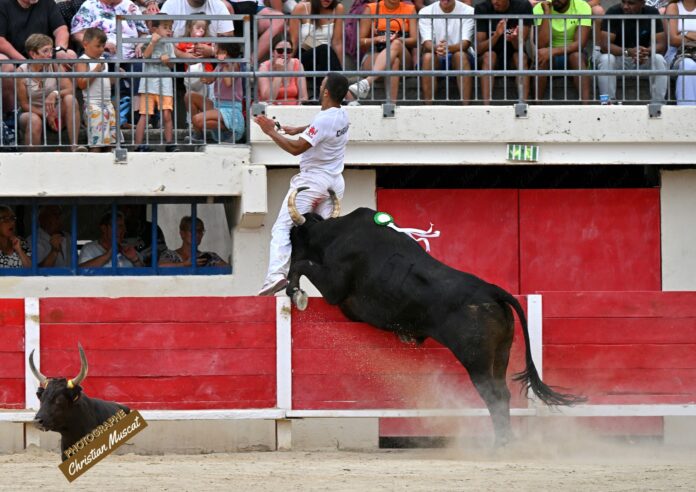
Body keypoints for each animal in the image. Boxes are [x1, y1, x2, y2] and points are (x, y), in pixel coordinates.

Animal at [286, 189, 584, 446]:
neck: (334, 234)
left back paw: (498, 444)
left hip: (475, 359)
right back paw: (506, 440)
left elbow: (304, 266)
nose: (283, 268)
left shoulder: (334, 288)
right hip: (501, 353)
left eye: (293, 238)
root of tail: (492, 290)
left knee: (493, 395)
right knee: (503, 392)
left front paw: (295, 292)